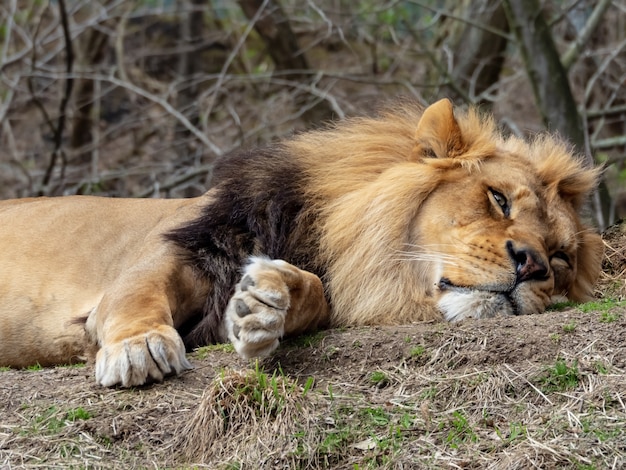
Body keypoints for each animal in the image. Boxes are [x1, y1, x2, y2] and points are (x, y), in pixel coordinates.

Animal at [0, 98, 604, 386]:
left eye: (560, 260)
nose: (530, 265)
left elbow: (310, 293)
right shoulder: (181, 245)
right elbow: (137, 294)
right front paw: (139, 347)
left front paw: (266, 304)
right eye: (499, 200)